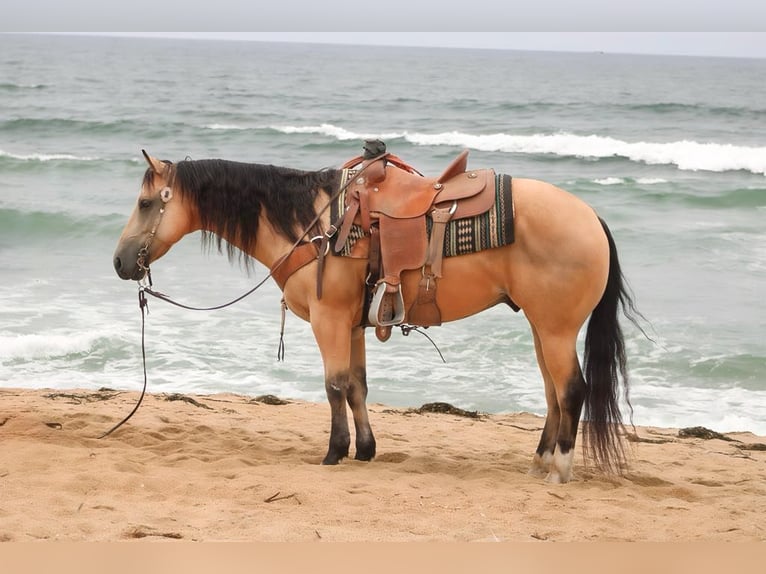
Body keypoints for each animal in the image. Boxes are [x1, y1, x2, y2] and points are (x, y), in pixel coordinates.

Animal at [113, 149, 641, 483]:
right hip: (541, 328)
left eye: (145, 203)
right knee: (552, 393)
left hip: (555, 329)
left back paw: (560, 470)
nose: (119, 263)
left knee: (570, 390)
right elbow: (358, 386)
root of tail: (591, 218)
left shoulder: (328, 320)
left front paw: (334, 451)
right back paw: (539, 463)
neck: (316, 225)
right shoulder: (352, 325)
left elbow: (333, 385)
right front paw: (365, 450)